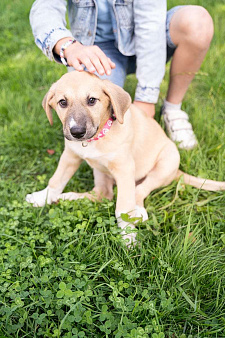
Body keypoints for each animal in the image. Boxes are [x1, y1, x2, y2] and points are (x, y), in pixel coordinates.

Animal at [26, 71, 225, 246]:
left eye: (92, 100)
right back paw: (68, 197)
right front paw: (41, 197)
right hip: (99, 170)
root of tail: (178, 171)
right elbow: (56, 181)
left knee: (139, 191)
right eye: (62, 102)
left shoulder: (124, 168)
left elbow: (122, 207)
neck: (97, 138)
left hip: (164, 164)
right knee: (103, 194)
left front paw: (128, 236)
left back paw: (137, 211)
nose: (77, 132)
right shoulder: (70, 156)